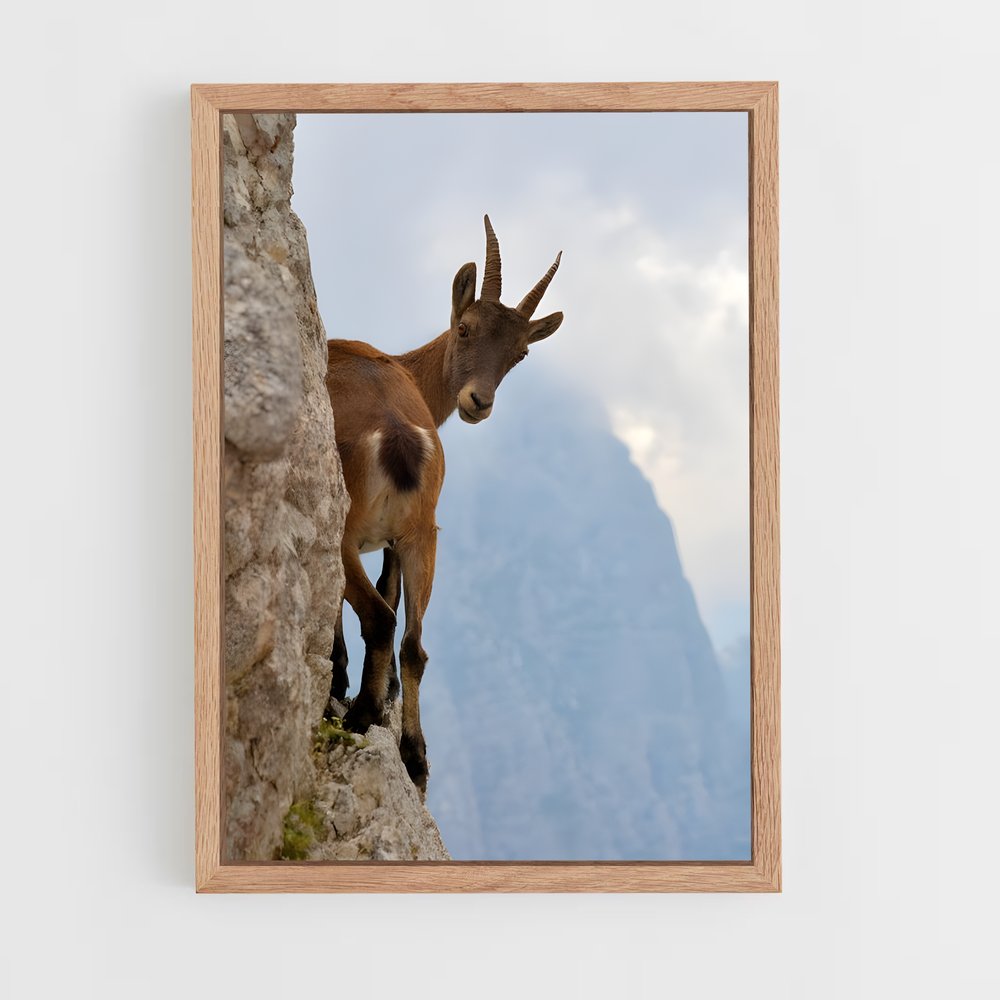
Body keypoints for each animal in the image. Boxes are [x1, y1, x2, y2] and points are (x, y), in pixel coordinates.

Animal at [325, 216, 564, 792]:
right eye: (466, 329)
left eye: (520, 353)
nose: (479, 401)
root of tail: (396, 436)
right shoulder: (396, 540)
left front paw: (341, 680)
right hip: (424, 535)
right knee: (414, 642)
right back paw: (413, 756)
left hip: (345, 532)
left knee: (380, 618)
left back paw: (361, 717)